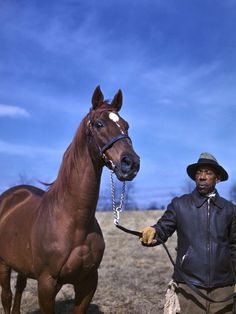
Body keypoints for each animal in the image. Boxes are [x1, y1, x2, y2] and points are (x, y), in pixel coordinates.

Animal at [0, 86, 140, 314]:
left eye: (126, 125)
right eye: (99, 124)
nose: (131, 163)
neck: (74, 220)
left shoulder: (88, 282)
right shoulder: (47, 284)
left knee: (19, 289)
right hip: (3, 263)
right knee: (7, 296)